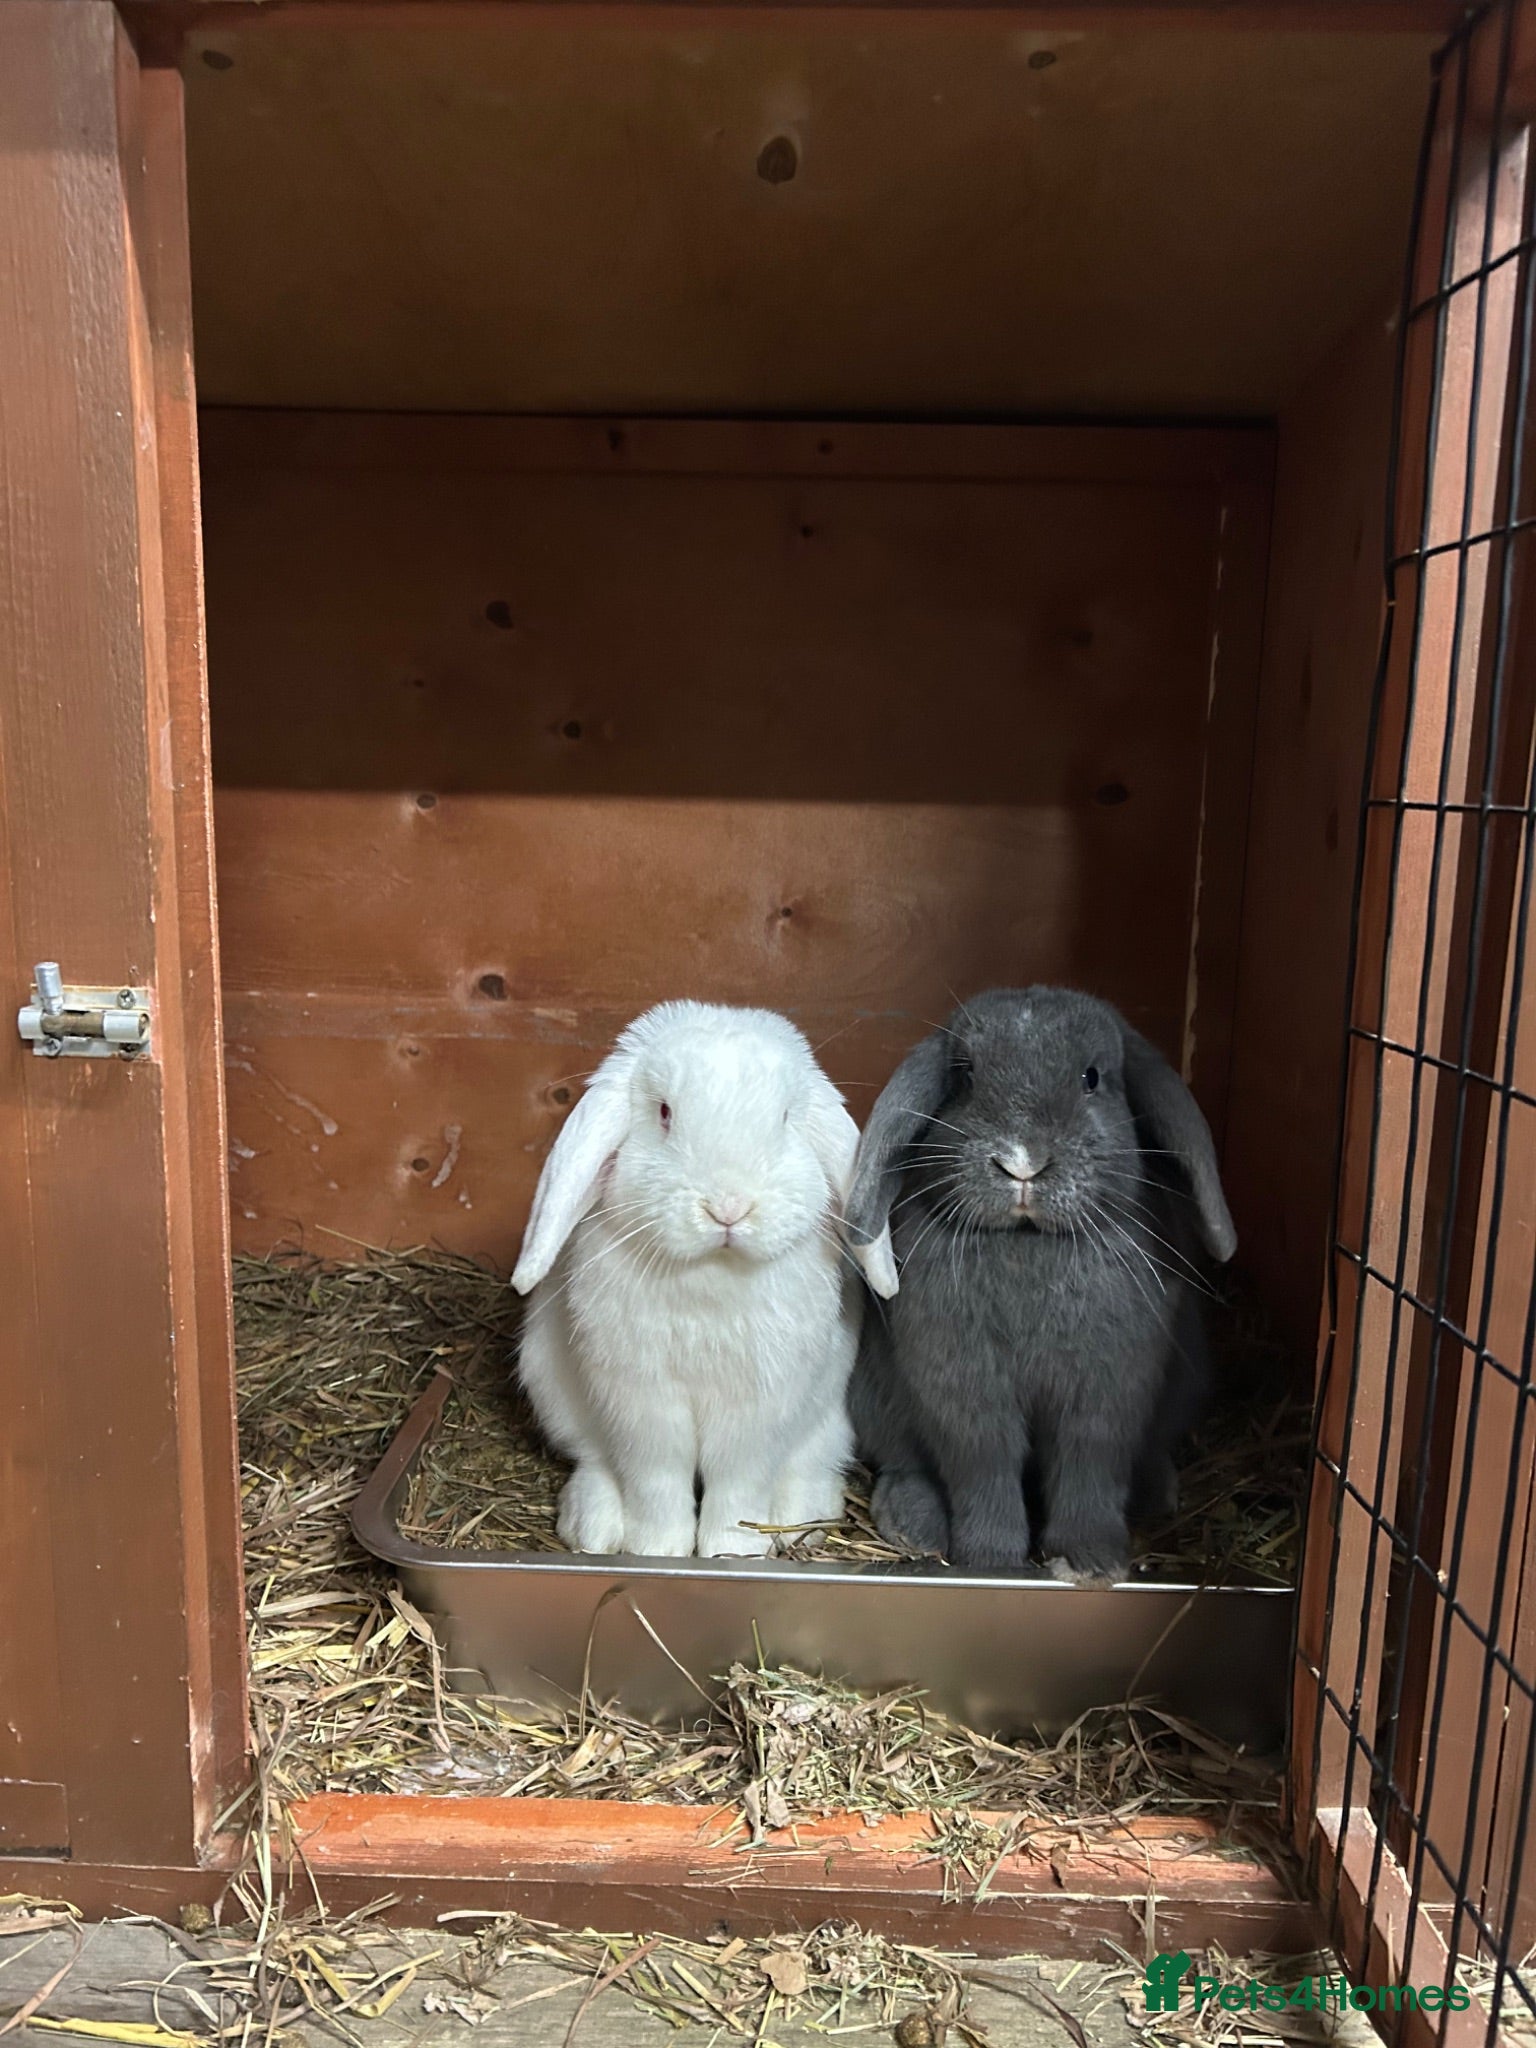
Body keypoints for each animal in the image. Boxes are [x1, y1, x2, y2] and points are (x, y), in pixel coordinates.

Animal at [511, 1000, 868, 1558]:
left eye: (785, 1118)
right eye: (664, 1113)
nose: (728, 1207)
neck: (710, 1278)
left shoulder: (759, 1409)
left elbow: (738, 1485)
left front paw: (732, 1552)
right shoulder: (641, 1406)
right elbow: (656, 1479)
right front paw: (656, 1549)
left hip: (828, 1420)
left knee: (808, 1464)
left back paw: (800, 1518)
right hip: (552, 1393)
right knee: (593, 1459)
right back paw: (593, 1526)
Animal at [844, 986, 1236, 1583]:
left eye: (1091, 1078)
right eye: (965, 1076)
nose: (1022, 1163)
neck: (1027, 1242)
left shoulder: (1105, 1398)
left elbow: (1087, 1472)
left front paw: (1089, 1563)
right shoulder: (968, 1396)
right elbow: (985, 1467)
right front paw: (990, 1559)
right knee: (905, 1464)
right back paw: (914, 1525)